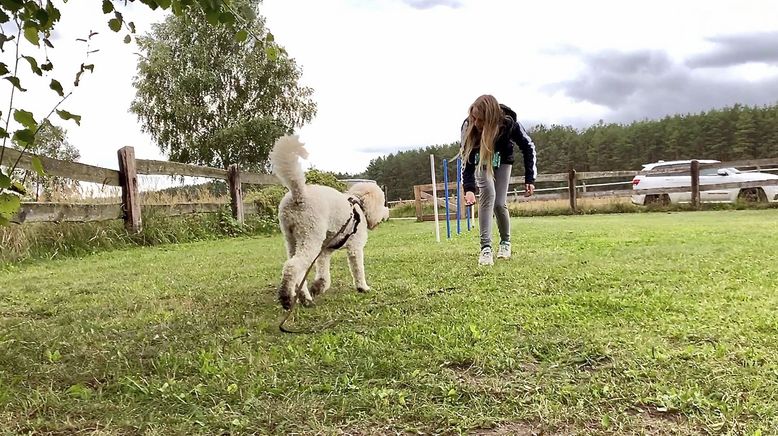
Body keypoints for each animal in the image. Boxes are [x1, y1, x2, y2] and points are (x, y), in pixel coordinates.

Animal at [268, 135, 388, 308]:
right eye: (382, 202)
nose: (387, 212)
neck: (358, 204)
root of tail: (299, 195)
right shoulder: (355, 248)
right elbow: (358, 270)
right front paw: (363, 287)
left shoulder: (325, 251)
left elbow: (323, 273)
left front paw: (318, 287)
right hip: (310, 236)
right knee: (292, 267)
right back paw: (287, 297)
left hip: (292, 240)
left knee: (297, 270)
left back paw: (305, 298)